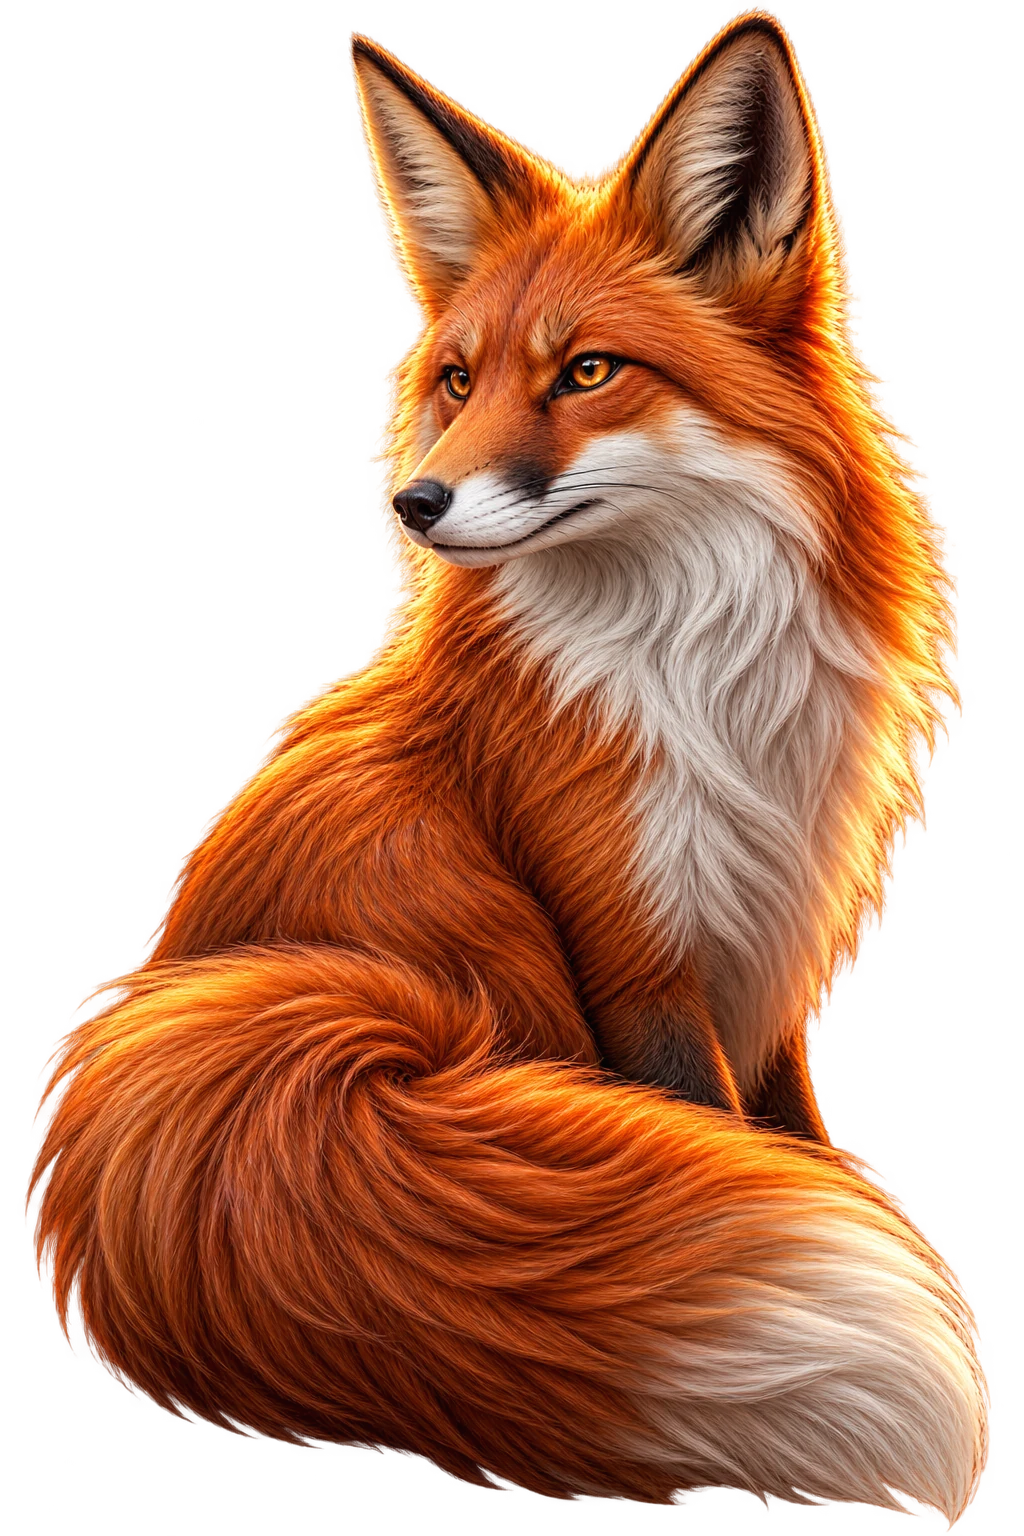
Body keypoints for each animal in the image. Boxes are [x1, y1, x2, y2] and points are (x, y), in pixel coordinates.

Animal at [35, 13, 988, 1524]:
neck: (695, 675)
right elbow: (731, 1143)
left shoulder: (763, 948)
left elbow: (793, 1146)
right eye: (458, 378)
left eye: (587, 371)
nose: (416, 504)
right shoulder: (635, 956)